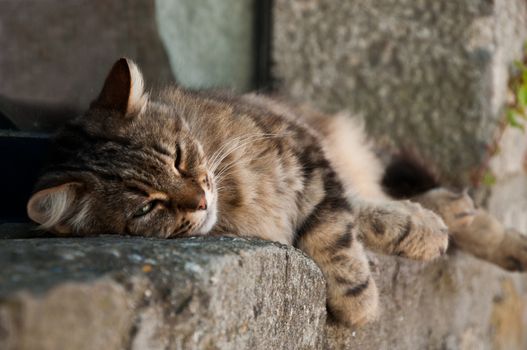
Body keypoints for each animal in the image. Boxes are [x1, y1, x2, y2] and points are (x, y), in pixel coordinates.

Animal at [26, 58, 527, 328]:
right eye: (149, 206)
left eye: (179, 158)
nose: (200, 199)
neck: (232, 193)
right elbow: (347, 225)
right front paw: (361, 296)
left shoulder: (307, 154)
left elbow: (335, 227)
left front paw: (359, 298)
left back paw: (498, 239)